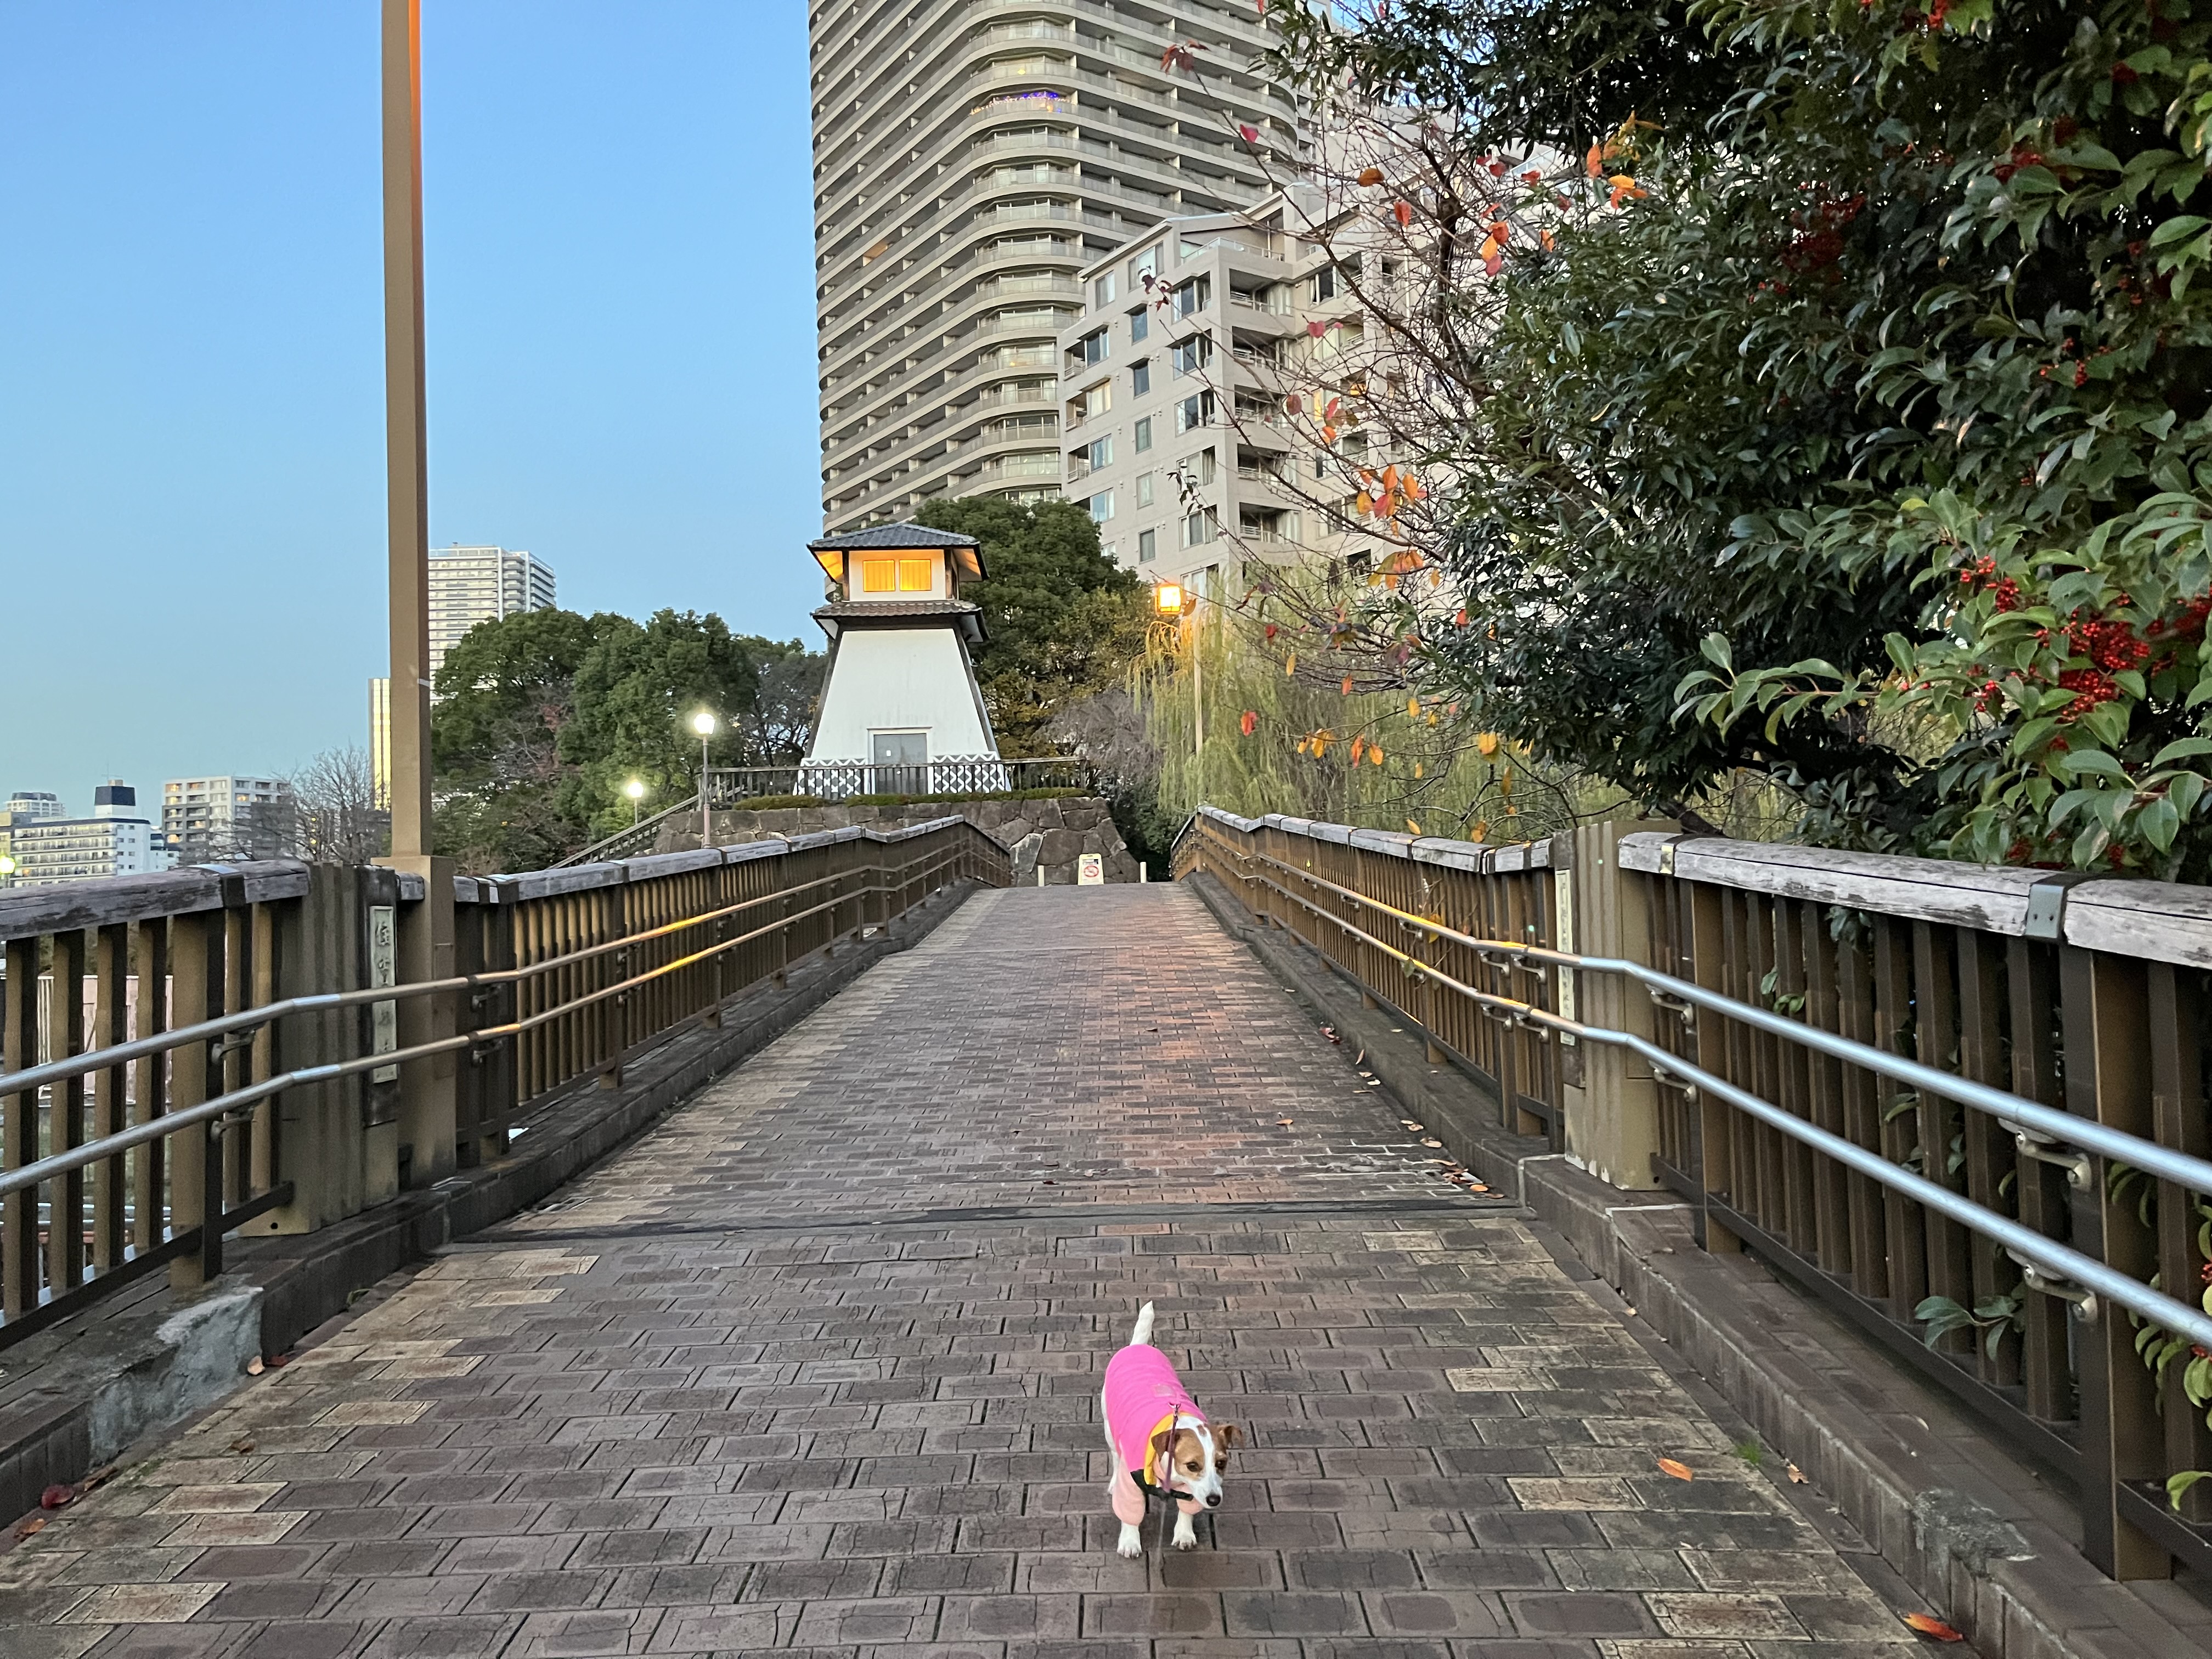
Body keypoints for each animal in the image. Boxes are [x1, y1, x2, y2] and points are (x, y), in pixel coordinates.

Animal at [1106, 1309, 1248, 1557]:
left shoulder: (1192, 1492)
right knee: (1115, 1454)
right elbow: (1130, 1513)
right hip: (1109, 1427)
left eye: (1221, 1463)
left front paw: (1184, 1534)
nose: (1214, 1500)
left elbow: (1188, 1509)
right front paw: (1130, 1541)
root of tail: (1138, 1346)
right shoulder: (1130, 1480)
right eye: (1192, 1465)